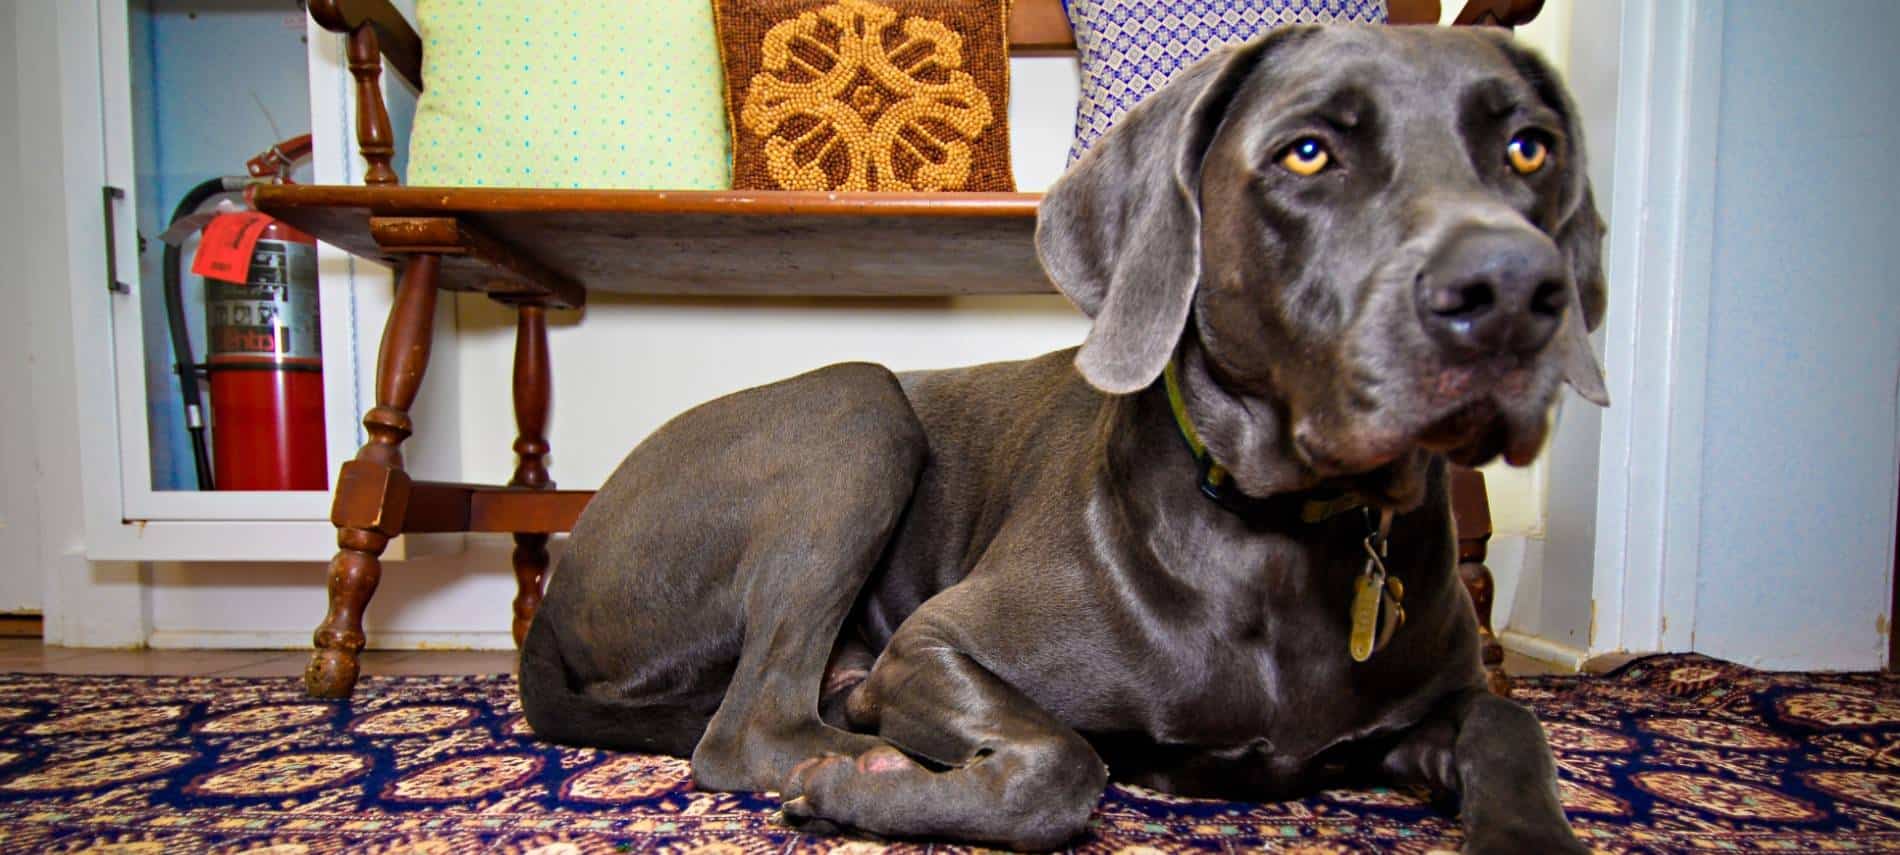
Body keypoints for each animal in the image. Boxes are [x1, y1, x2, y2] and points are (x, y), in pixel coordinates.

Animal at [516, 23, 1603, 851]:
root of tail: (556, 598)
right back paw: (856, 748)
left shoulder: (1431, 708)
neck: (1287, 536)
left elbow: (1513, 721)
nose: (1513, 291)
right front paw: (867, 789)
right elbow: (1065, 763)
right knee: (746, 727)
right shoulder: (934, 643)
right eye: (1306, 152)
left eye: (1530, 148)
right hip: (859, 409)